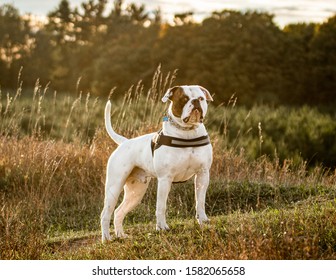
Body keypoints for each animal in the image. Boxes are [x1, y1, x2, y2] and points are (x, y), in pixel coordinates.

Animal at [101, 85, 214, 241]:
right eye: (184, 98)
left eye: (201, 98)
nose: (195, 101)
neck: (187, 133)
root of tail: (124, 142)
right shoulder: (165, 179)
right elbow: (161, 206)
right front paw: (161, 228)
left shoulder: (203, 175)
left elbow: (200, 201)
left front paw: (203, 221)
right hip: (114, 187)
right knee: (105, 213)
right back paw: (106, 239)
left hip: (135, 192)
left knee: (118, 211)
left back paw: (121, 235)